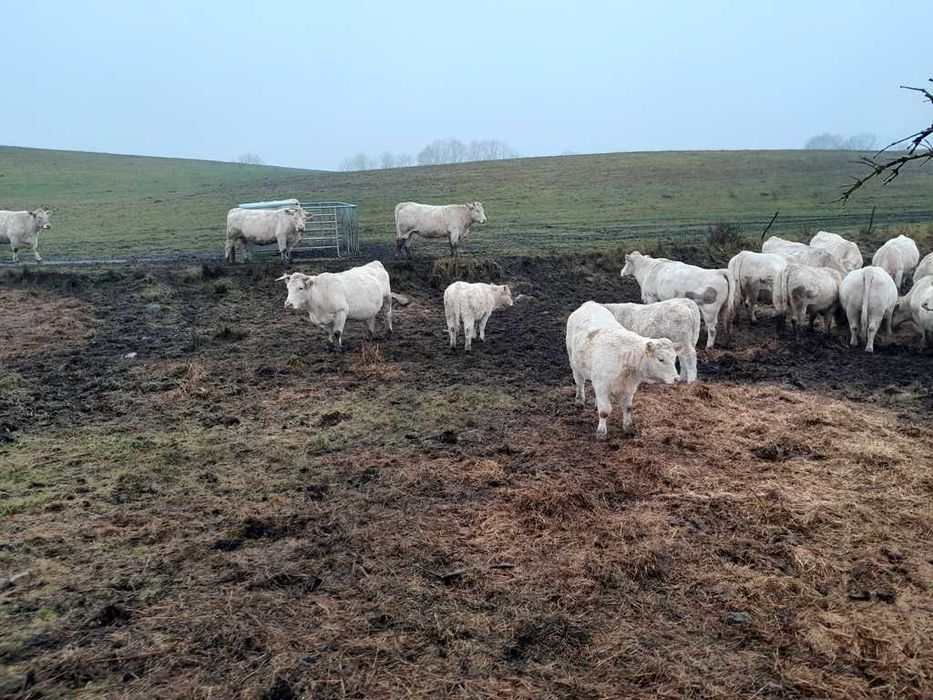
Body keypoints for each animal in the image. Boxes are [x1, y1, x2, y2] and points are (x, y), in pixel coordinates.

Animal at [564, 300, 672, 440]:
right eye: (661, 359)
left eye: (675, 358)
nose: (676, 378)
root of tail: (589, 303)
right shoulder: (603, 385)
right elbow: (604, 412)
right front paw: (601, 433)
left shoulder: (629, 388)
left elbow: (627, 408)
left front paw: (628, 428)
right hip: (574, 363)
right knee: (579, 382)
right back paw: (579, 400)